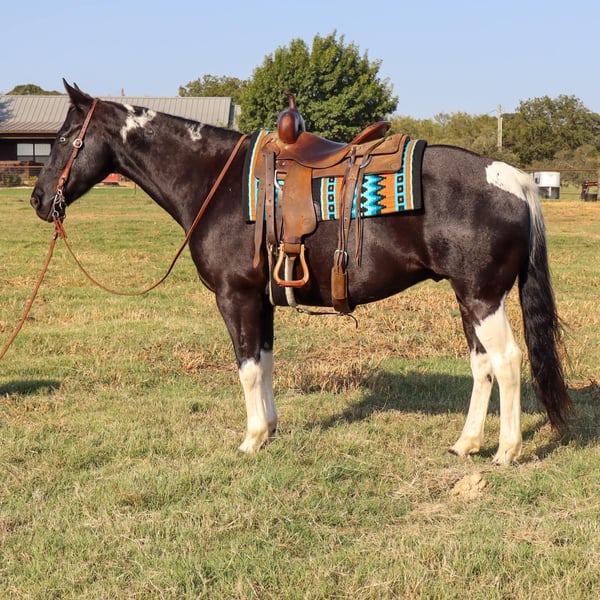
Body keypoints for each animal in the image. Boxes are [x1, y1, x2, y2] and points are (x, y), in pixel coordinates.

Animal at [30, 81, 571, 465]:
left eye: (63, 139)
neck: (217, 183)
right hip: (469, 299)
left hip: (483, 297)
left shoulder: (236, 297)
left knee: (507, 361)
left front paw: (251, 440)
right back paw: (466, 443)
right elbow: (265, 364)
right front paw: (269, 430)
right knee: (483, 365)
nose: (37, 200)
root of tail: (514, 179)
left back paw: (505, 451)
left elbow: (247, 368)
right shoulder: (261, 300)